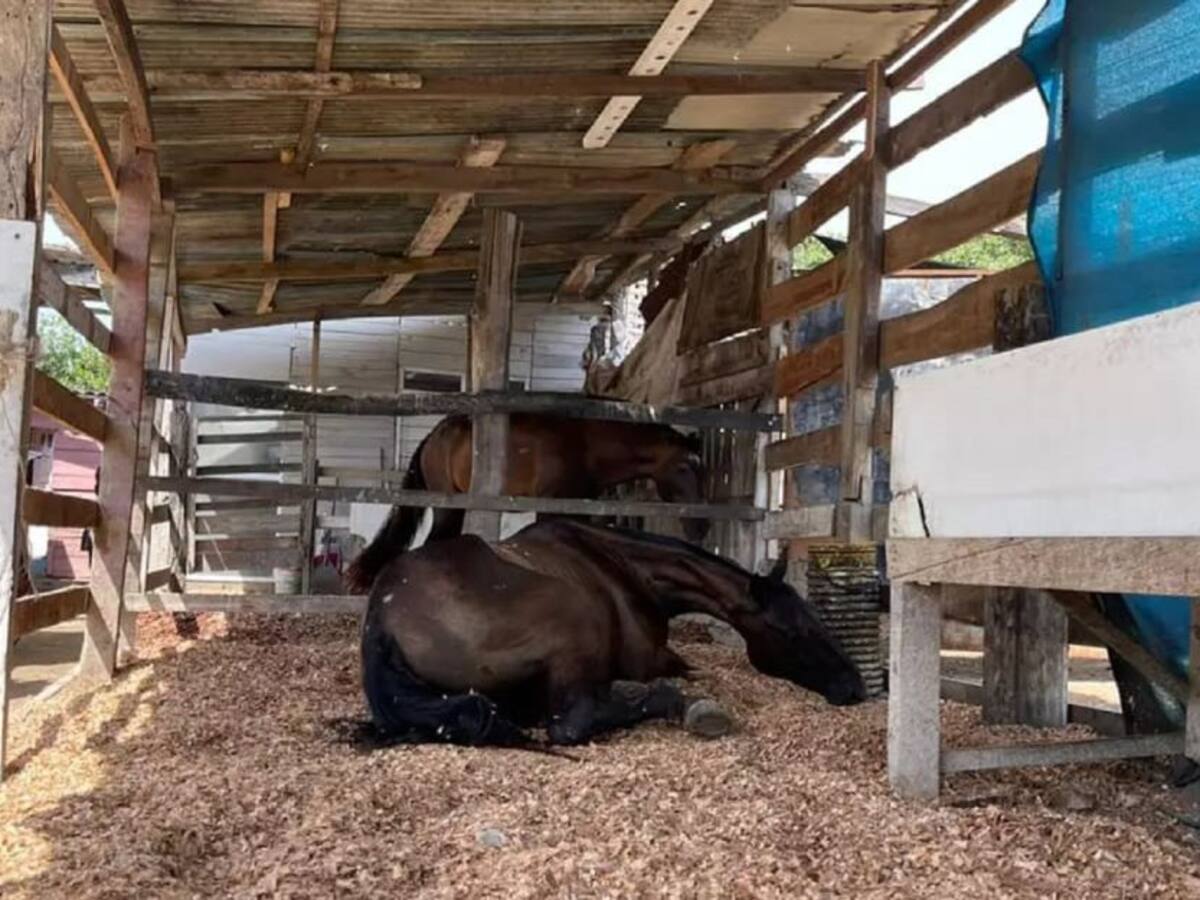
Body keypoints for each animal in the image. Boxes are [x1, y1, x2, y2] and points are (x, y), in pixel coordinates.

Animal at [345, 413, 708, 592]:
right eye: (684, 466)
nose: (700, 526)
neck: (586, 446)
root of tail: (433, 438)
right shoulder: (551, 507)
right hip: (448, 508)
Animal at [359, 519, 865, 748]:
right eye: (791, 632)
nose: (854, 686)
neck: (629, 571)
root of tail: (383, 617)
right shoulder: (650, 657)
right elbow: (683, 669)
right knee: (570, 724)